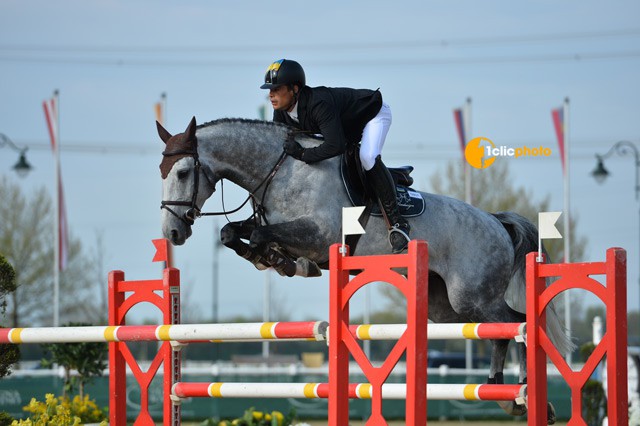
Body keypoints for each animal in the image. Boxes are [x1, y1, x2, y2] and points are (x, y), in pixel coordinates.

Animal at [159, 116, 568, 422]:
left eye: (182, 172)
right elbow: (232, 232)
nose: (172, 232)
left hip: (472, 296)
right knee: (499, 332)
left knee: (517, 323)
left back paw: (528, 396)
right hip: (445, 307)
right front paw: (274, 259)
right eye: (162, 170)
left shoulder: (319, 233)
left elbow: (260, 233)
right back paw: (503, 392)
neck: (282, 171)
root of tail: (497, 221)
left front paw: (282, 260)